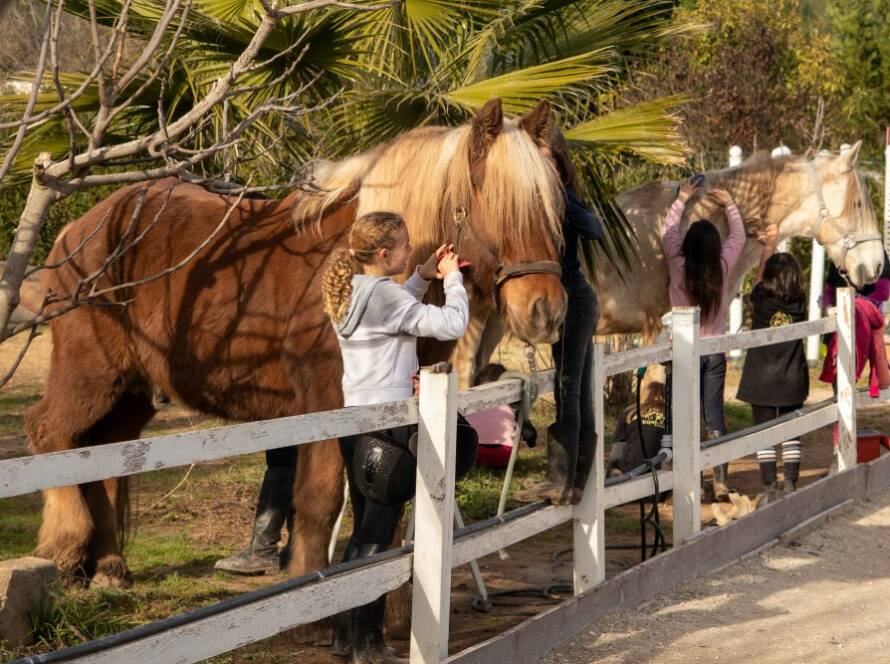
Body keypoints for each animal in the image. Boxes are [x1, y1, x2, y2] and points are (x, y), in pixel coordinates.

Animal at [24, 98, 568, 588]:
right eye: (497, 205)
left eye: (551, 209)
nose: (547, 311)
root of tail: (80, 230)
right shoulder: (327, 401)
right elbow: (319, 500)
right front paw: (309, 580)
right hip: (92, 374)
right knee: (52, 434)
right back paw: (67, 550)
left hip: (132, 392)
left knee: (104, 457)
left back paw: (110, 566)